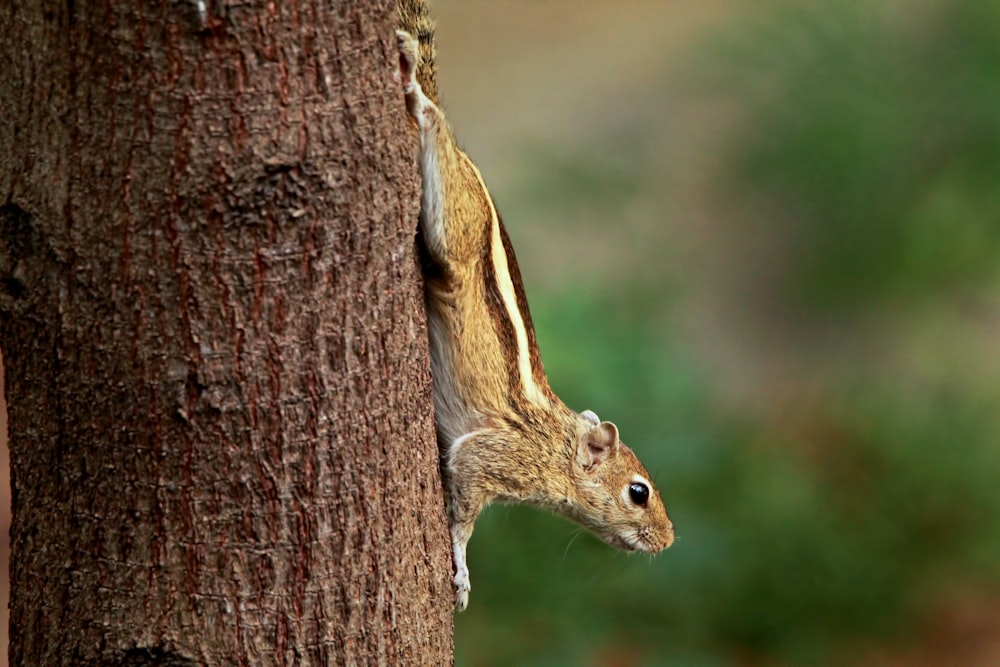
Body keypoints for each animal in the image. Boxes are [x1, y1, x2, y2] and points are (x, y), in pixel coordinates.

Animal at [394, 1, 676, 616]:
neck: (557, 442)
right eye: (638, 492)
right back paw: (416, 91)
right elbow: (462, 518)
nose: (669, 540)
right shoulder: (490, 456)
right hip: (453, 225)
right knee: (436, 129)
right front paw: (461, 575)